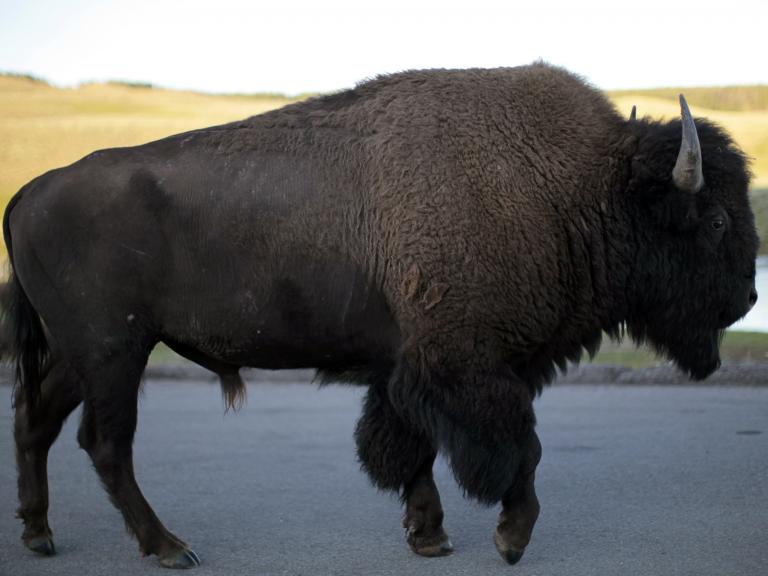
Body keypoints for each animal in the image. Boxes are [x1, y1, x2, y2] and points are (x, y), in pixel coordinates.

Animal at [3, 63, 760, 568]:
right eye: (718, 219)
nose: (749, 299)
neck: (575, 189)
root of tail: (26, 196)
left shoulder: (405, 370)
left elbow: (407, 448)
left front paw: (430, 536)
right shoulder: (470, 369)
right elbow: (520, 449)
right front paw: (510, 538)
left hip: (81, 356)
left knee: (38, 423)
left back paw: (40, 534)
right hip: (113, 354)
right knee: (105, 444)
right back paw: (168, 547)